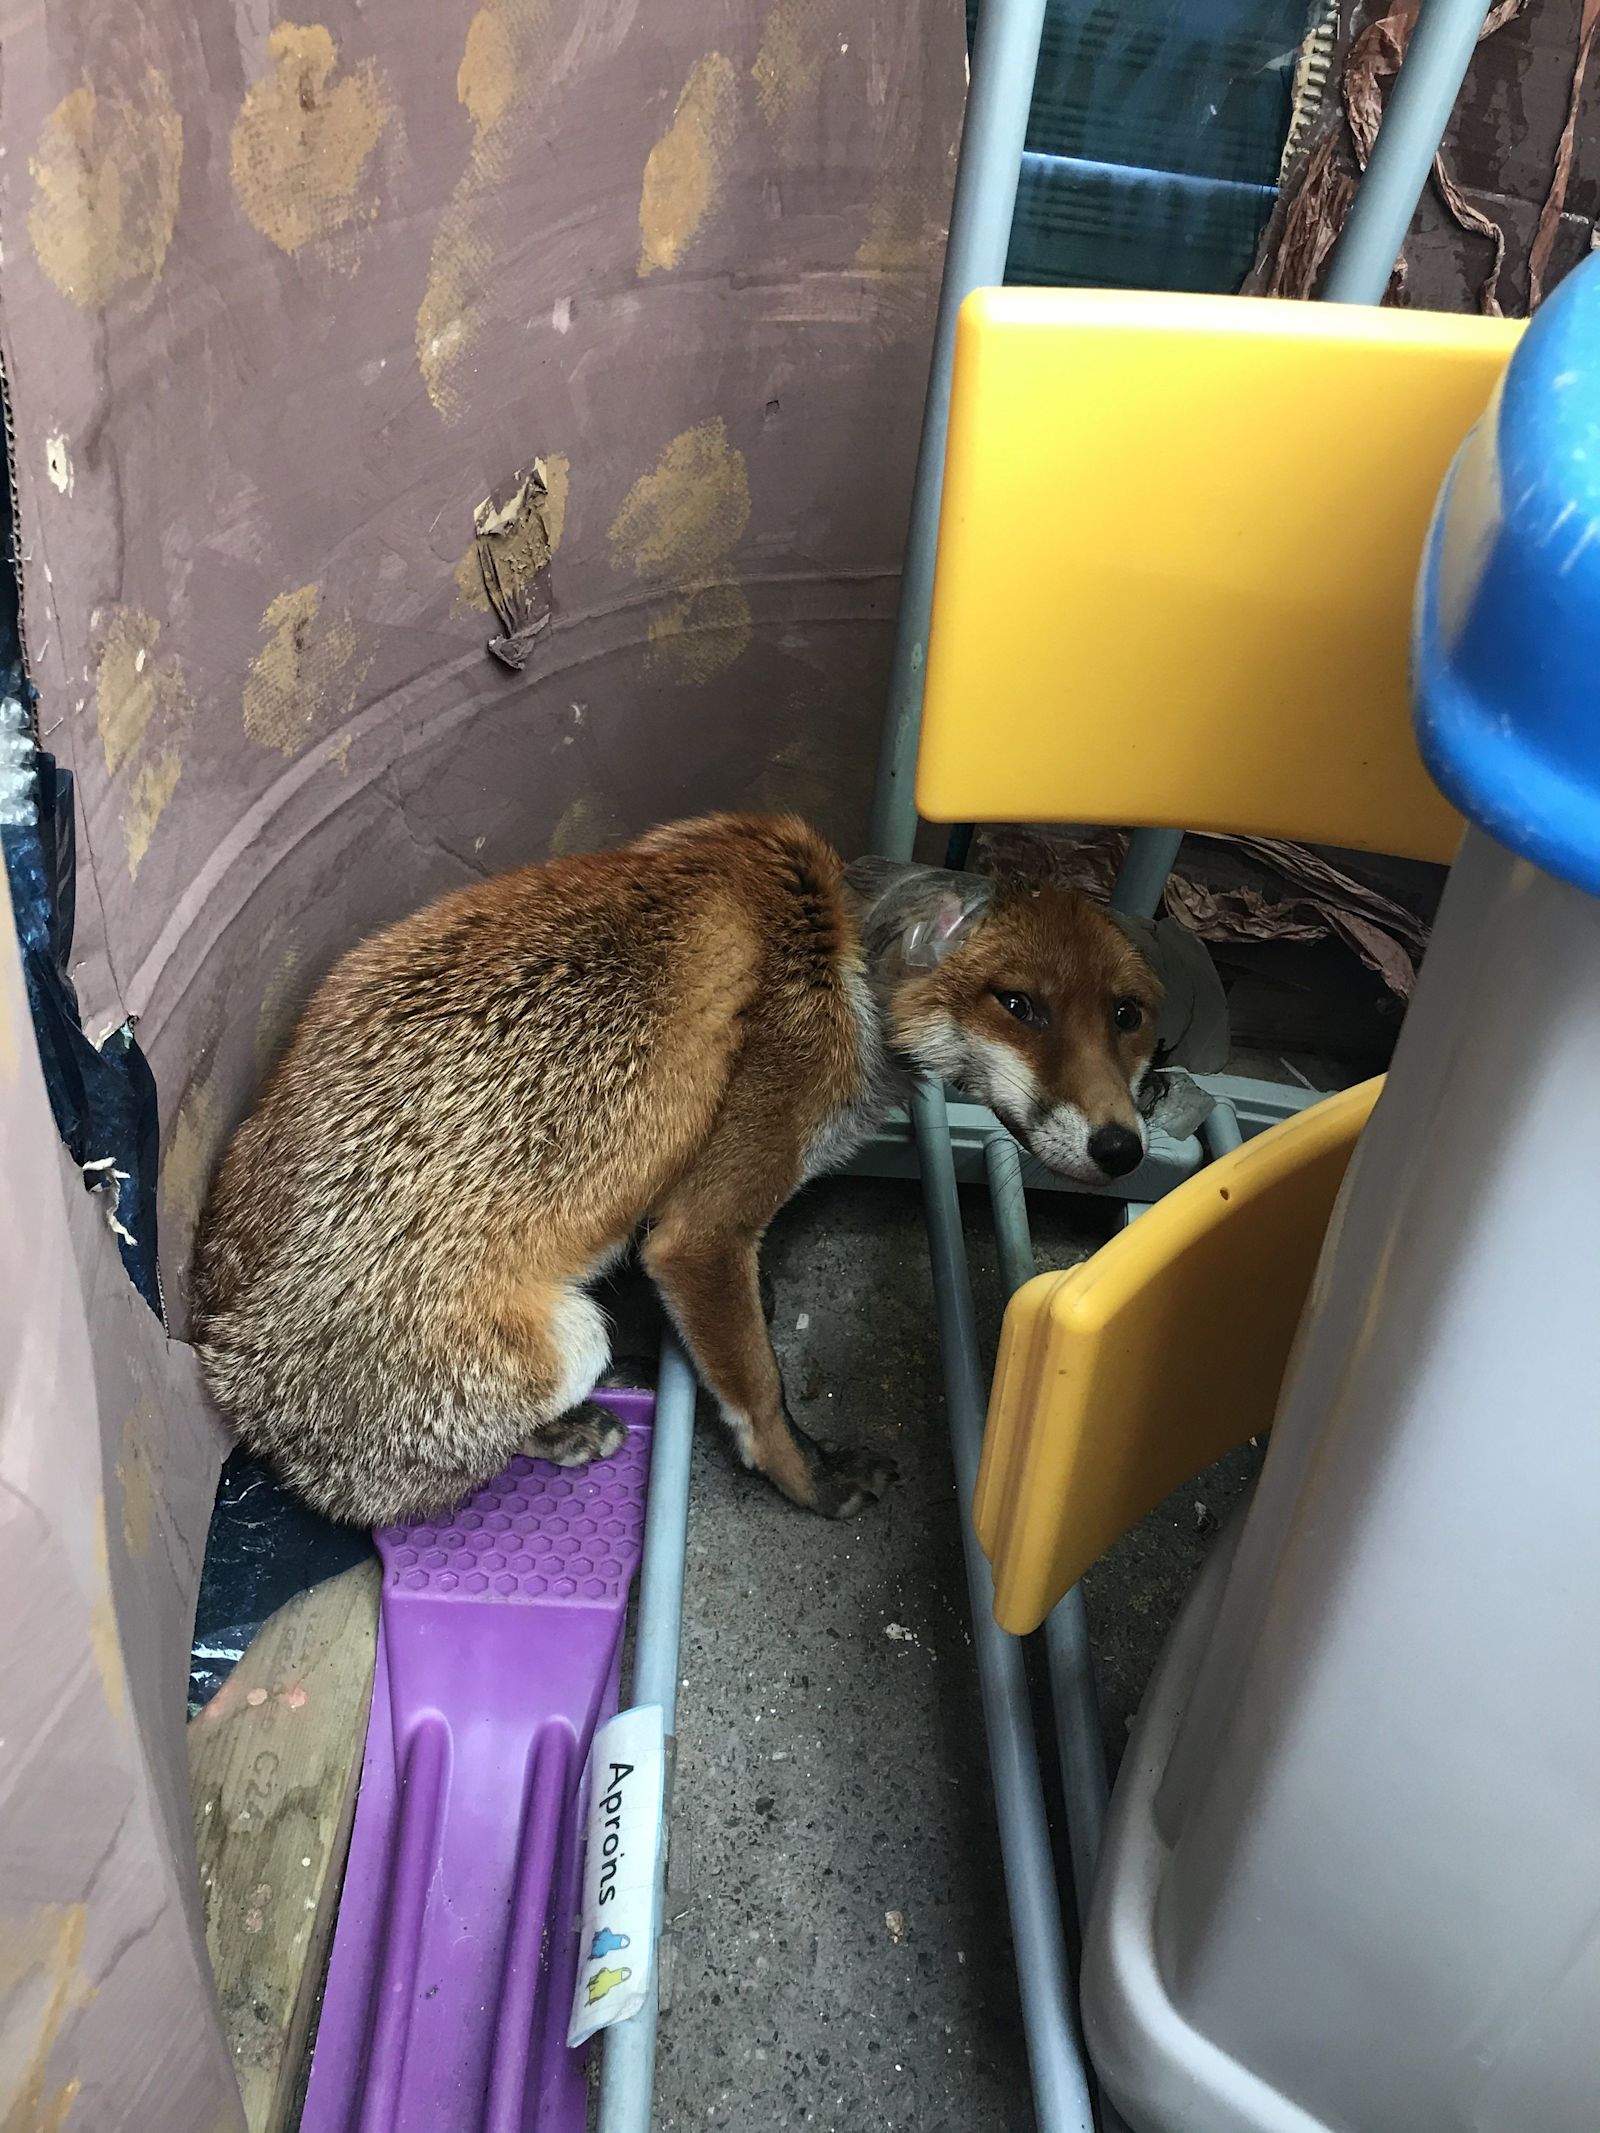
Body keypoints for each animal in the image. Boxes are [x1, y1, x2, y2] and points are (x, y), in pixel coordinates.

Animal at [190, 812, 1163, 1527]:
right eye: (1020, 1006)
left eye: (1128, 1015)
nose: (1123, 1147)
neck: (842, 956)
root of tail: (224, 1358)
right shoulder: (701, 1231)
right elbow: (760, 1388)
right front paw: (805, 1477)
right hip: (566, 1339)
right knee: (404, 1494)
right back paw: (564, 1432)